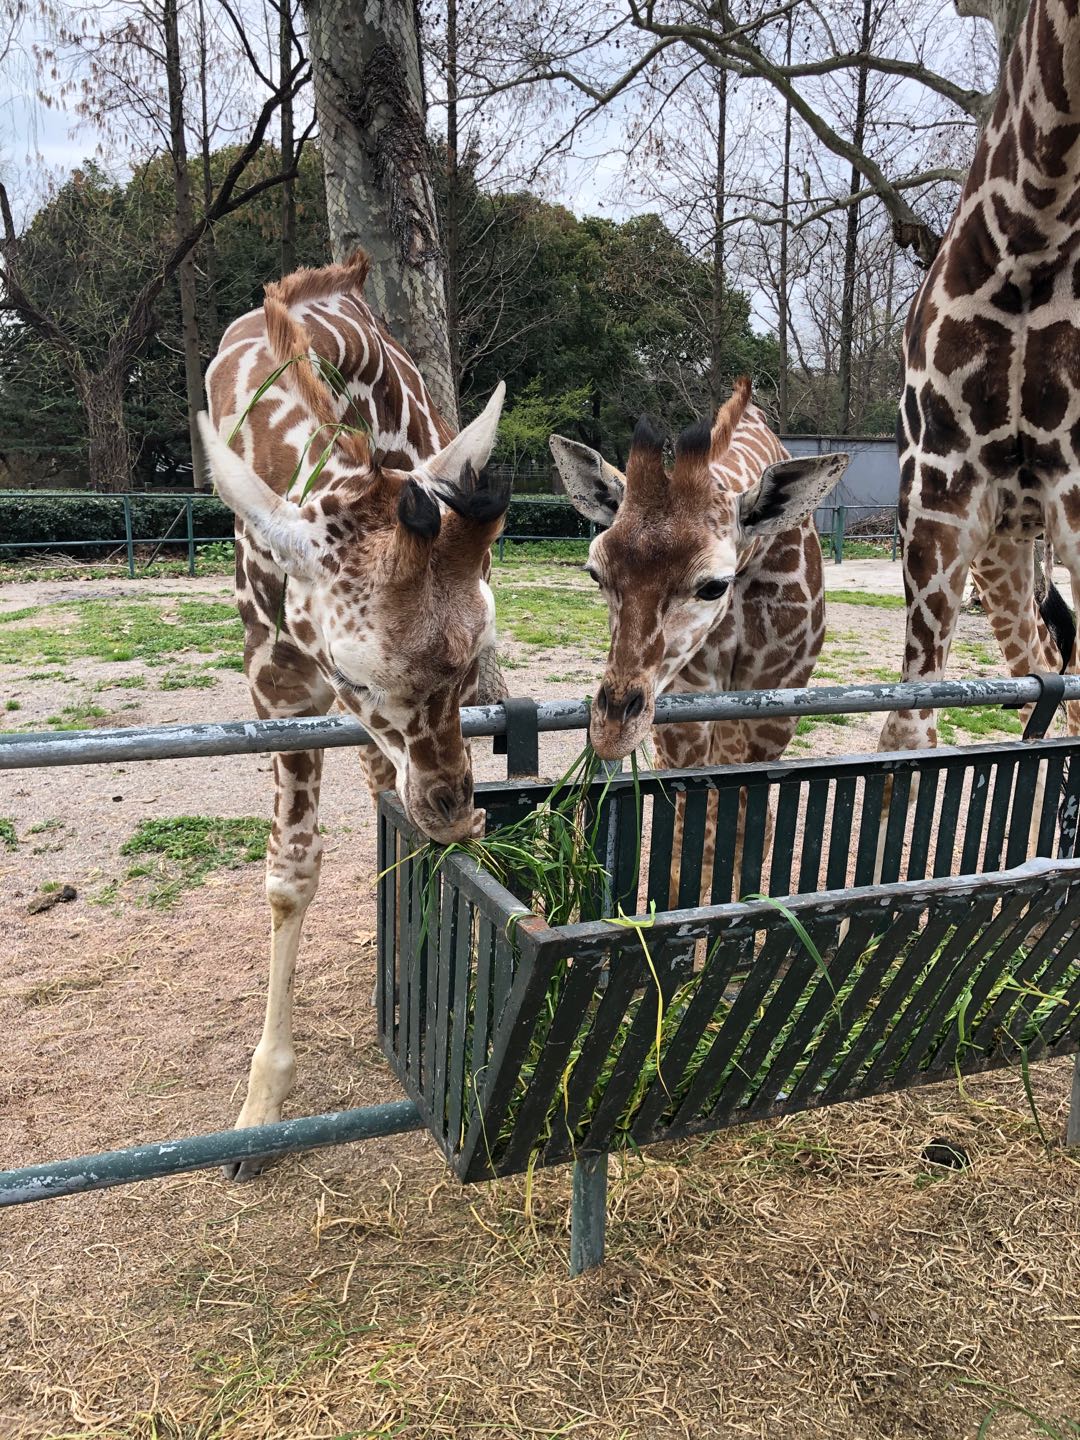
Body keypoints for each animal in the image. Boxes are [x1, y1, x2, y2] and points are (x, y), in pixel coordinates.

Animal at [198, 247, 512, 1169]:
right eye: (354, 672)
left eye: (474, 653)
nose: (455, 811)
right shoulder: (276, 684)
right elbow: (289, 873)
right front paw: (259, 1111)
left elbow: (390, 825)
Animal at [552, 377, 852, 892]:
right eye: (596, 574)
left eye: (713, 585)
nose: (611, 731)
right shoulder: (685, 709)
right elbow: (685, 844)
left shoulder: (771, 709)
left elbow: (743, 834)